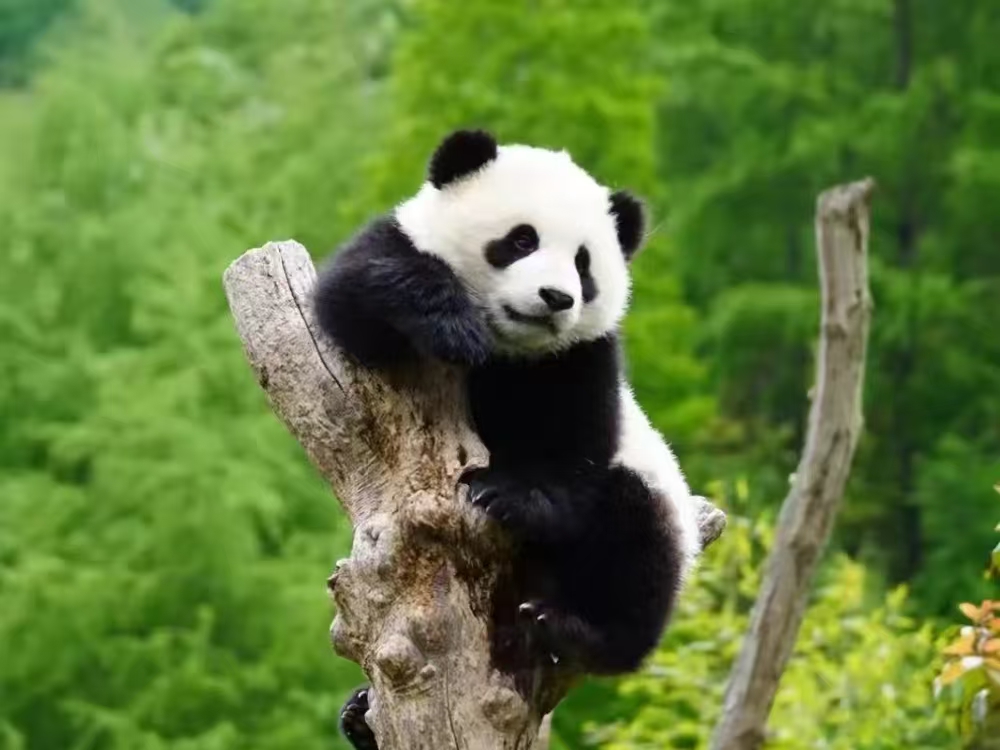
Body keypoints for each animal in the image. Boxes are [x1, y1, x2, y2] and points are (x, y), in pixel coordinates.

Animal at [313, 130, 702, 749]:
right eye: (521, 240)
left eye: (583, 264)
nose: (556, 297)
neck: (509, 348)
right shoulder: (388, 261)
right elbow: (360, 296)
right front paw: (449, 324)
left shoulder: (579, 359)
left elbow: (574, 448)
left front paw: (507, 496)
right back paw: (359, 714)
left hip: (652, 506)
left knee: (634, 544)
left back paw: (573, 628)